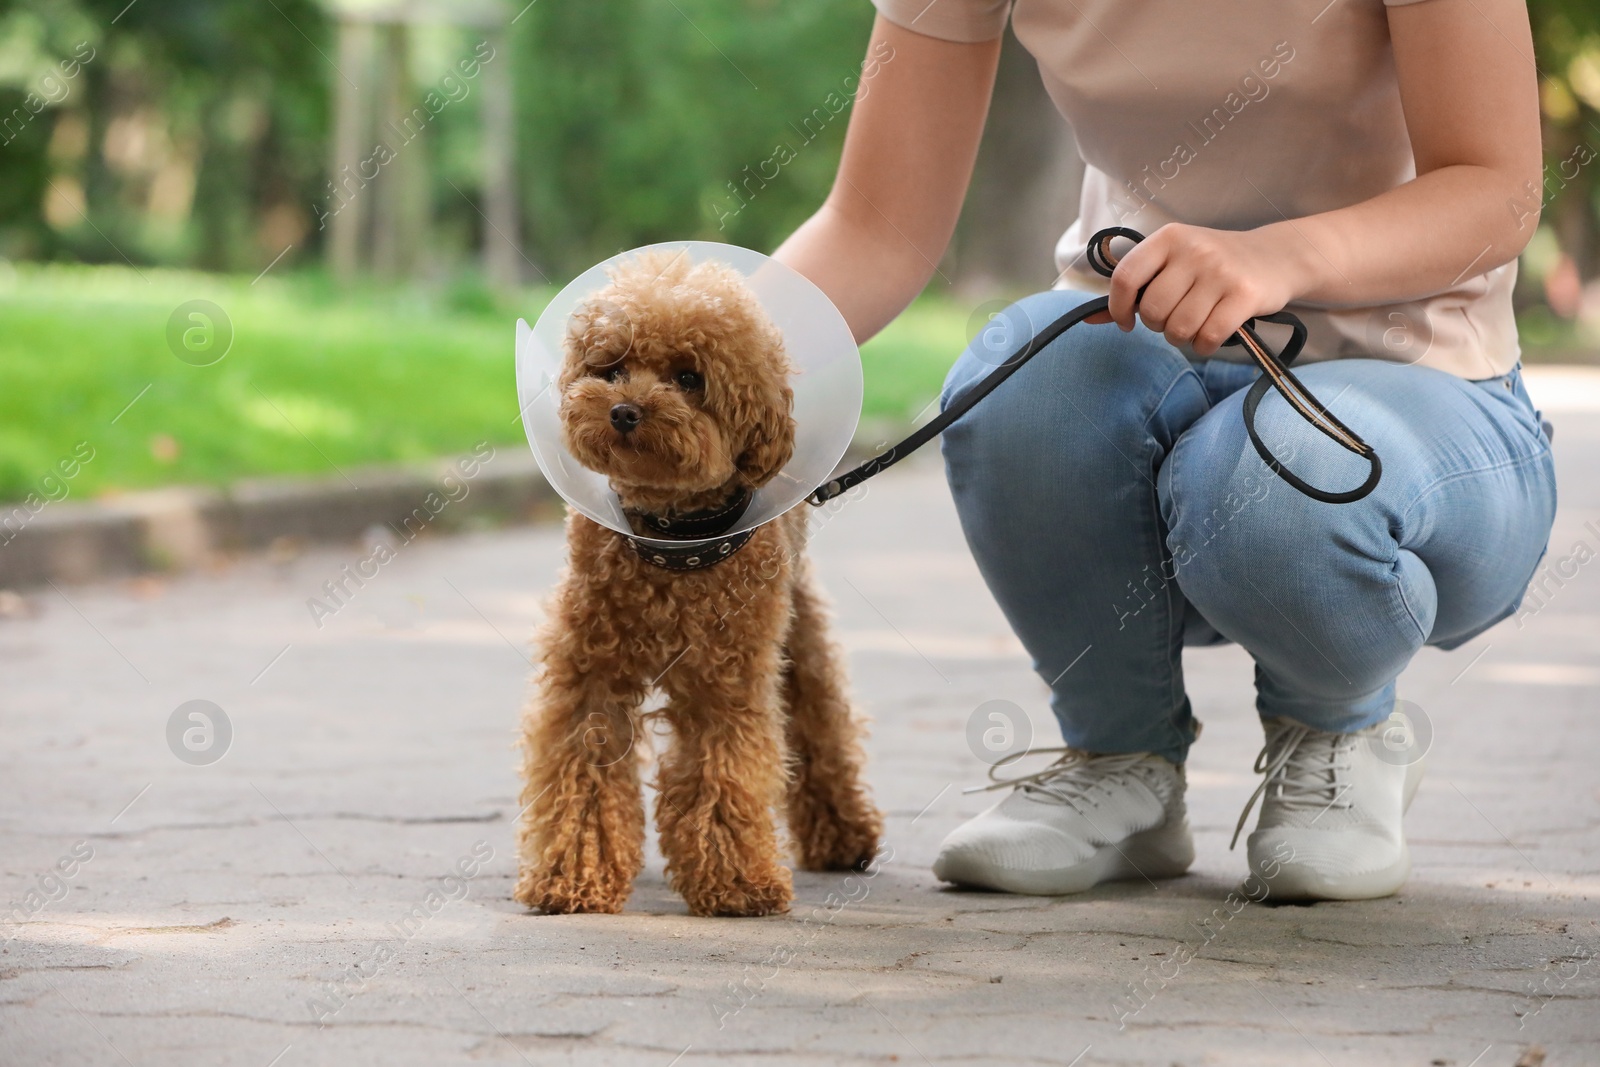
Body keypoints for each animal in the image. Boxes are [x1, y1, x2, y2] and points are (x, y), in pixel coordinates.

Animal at [515, 251, 883, 921]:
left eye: (689, 378)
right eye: (611, 368)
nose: (624, 411)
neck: (671, 545)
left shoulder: (725, 679)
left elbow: (722, 771)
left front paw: (736, 882)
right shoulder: (590, 672)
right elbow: (582, 765)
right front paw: (574, 876)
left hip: (798, 637)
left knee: (821, 722)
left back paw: (844, 836)